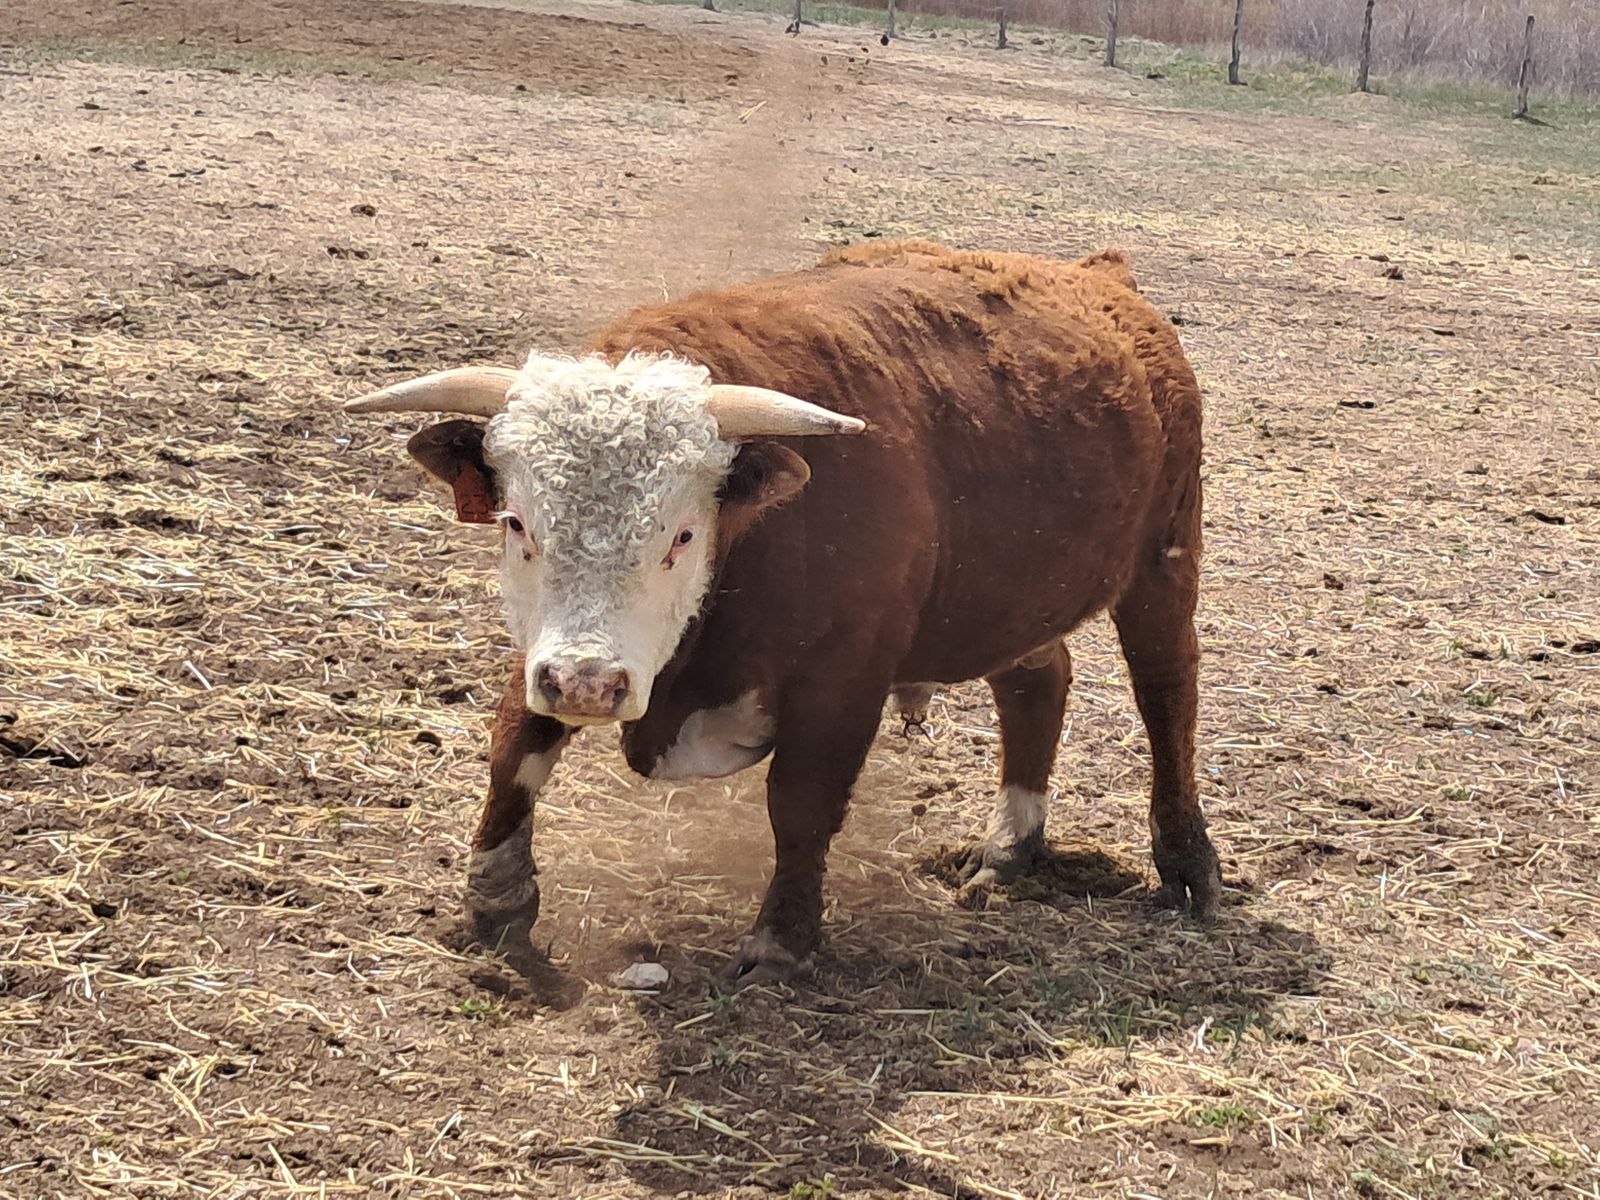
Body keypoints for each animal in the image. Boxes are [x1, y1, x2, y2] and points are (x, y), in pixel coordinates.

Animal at [345, 239, 1223, 988]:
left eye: (682, 533)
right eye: (517, 522)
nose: (588, 686)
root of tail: (1103, 277)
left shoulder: (845, 676)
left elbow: (802, 801)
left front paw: (782, 941)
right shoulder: (548, 650)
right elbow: (515, 744)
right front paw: (495, 897)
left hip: (1164, 560)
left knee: (1166, 693)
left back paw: (1186, 861)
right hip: (1014, 595)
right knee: (1038, 681)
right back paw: (1011, 843)